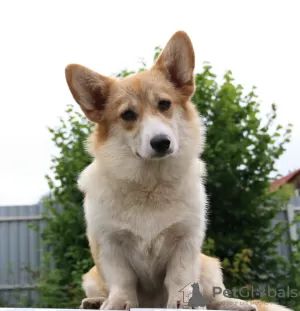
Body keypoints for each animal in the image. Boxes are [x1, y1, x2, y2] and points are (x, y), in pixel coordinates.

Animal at [64, 29, 292, 311]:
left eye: (164, 104)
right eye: (128, 115)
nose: (161, 142)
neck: (151, 183)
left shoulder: (186, 241)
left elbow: (180, 278)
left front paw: (183, 303)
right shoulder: (110, 244)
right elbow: (122, 281)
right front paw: (118, 302)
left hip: (209, 265)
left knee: (214, 297)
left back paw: (236, 303)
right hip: (92, 276)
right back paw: (95, 301)